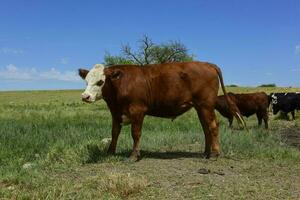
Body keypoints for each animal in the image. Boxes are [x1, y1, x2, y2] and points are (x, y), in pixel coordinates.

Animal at [79, 61, 246, 160]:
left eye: (100, 81)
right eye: (86, 81)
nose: (85, 96)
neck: (120, 84)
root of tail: (207, 64)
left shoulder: (137, 111)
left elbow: (135, 133)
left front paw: (134, 155)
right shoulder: (115, 112)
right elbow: (114, 133)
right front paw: (110, 152)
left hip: (206, 105)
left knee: (212, 126)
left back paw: (215, 153)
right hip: (200, 107)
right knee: (206, 128)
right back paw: (206, 152)